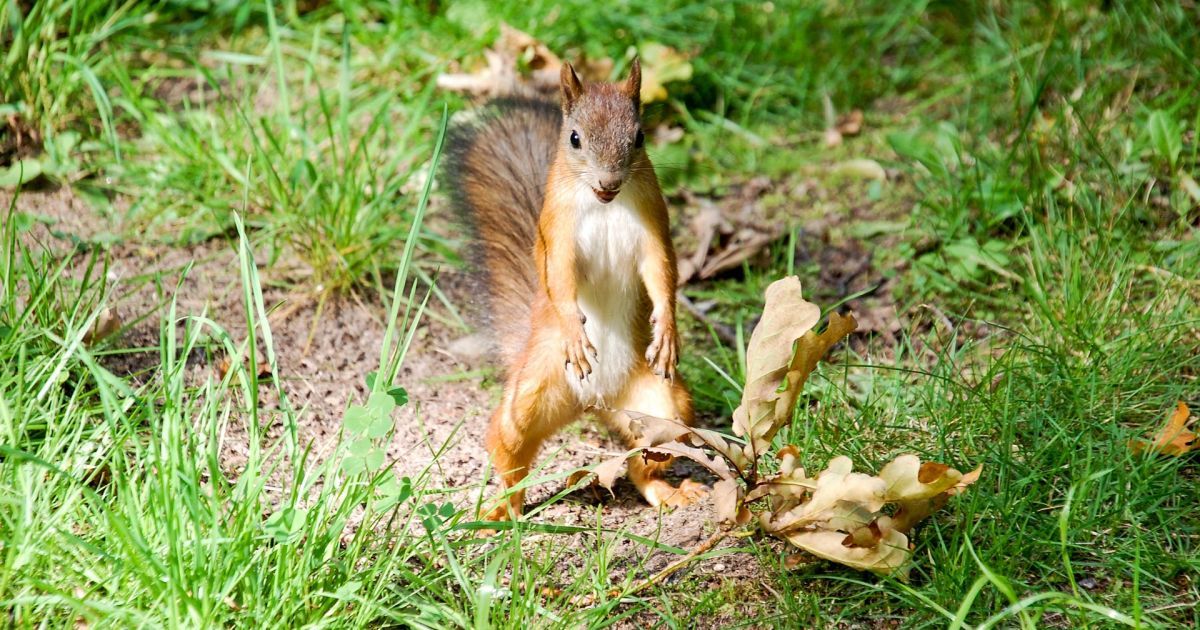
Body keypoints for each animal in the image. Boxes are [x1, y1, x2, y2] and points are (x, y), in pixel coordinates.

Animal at [444, 59, 707, 520]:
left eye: (639, 137)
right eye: (574, 138)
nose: (609, 181)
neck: (605, 206)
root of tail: (593, 401)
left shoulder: (653, 227)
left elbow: (661, 274)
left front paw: (667, 331)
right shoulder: (558, 232)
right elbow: (562, 279)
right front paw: (574, 330)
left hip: (665, 411)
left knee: (644, 463)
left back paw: (668, 492)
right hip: (530, 395)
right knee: (509, 453)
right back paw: (499, 511)